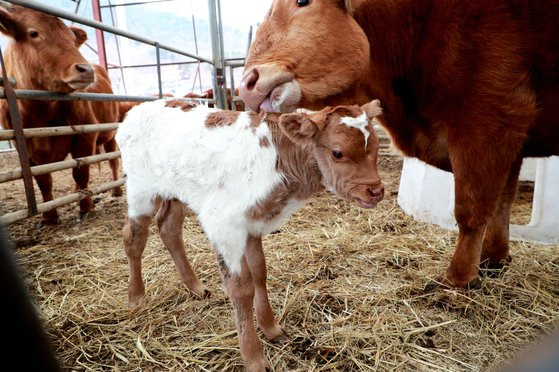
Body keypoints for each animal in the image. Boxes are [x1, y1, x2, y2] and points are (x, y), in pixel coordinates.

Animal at [0, 3, 121, 224]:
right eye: (33, 33)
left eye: (72, 39)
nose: (86, 70)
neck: (39, 112)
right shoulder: (25, 148)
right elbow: (43, 180)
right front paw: (49, 216)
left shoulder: (85, 137)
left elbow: (80, 172)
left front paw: (85, 207)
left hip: (110, 134)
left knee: (112, 160)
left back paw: (115, 190)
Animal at [116, 98, 388, 370]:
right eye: (337, 152)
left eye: (375, 146)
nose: (376, 191)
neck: (279, 160)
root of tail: (136, 110)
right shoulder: (224, 225)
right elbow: (241, 289)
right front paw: (254, 356)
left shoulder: (252, 224)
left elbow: (259, 274)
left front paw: (271, 327)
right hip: (141, 190)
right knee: (134, 238)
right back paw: (136, 297)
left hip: (174, 191)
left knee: (169, 228)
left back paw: (195, 287)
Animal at [241, 0, 559, 288]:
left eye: (302, 1)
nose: (246, 83)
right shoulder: (512, 141)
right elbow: (502, 202)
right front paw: (494, 259)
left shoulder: (488, 123)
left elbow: (472, 210)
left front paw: (457, 279)